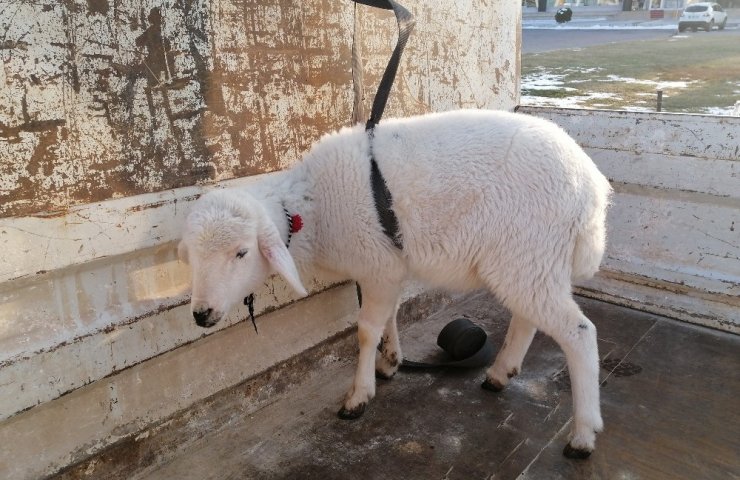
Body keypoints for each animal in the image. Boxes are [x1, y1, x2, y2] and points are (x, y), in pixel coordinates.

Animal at [179, 109, 612, 458]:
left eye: (241, 253)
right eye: (192, 257)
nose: (201, 315)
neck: (311, 209)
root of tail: (592, 187)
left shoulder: (378, 263)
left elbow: (365, 330)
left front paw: (358, 396)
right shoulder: (385, 267)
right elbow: (389, 317)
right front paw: (389, 362)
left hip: (527, 250)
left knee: (579, 332)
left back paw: (582, 435)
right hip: (529, 260)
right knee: (528, 318)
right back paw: (500, 374)